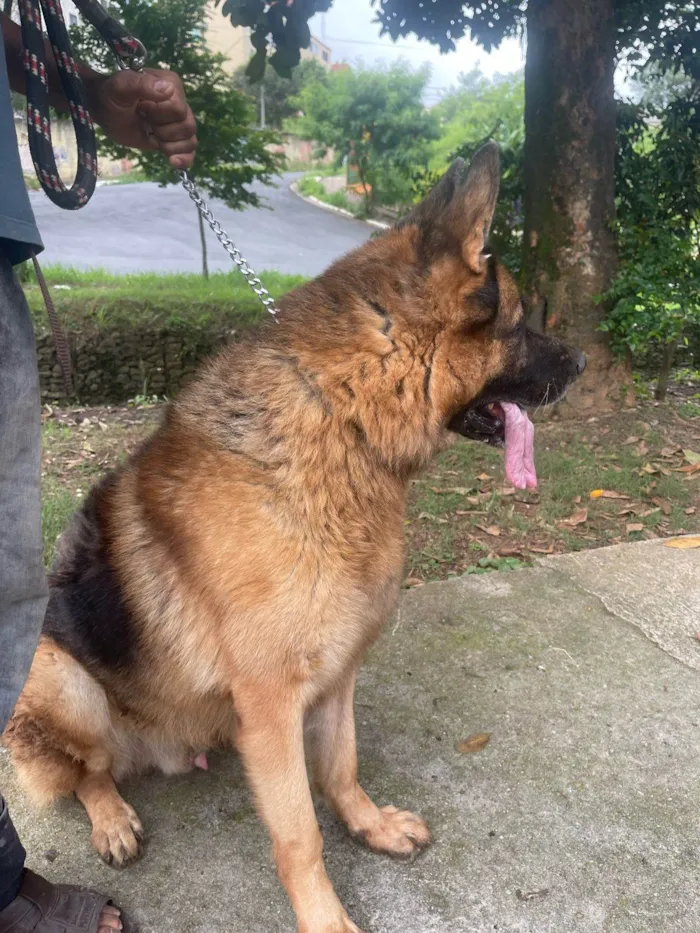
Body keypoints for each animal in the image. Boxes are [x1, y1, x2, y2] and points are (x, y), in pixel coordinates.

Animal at [4, 146, 584, 932]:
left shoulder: (337, 673)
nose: (582, 364)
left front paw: (369, 825)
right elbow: (300, 832)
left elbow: (341, 766)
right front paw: (325, 917)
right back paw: (112, 817)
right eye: (520, 324)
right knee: (88, 772)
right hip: (60, 678)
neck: (343, 417)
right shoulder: (275, 701)